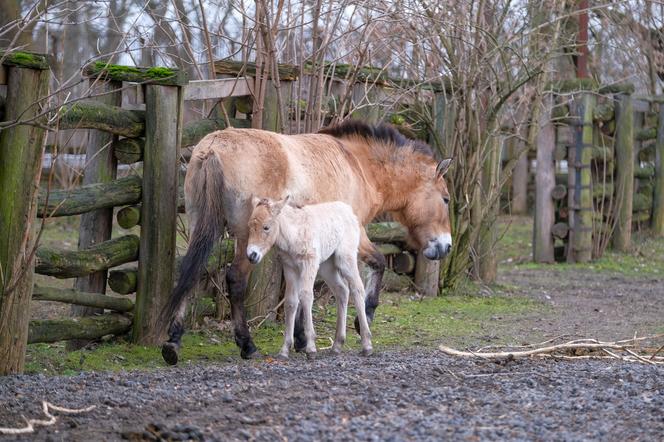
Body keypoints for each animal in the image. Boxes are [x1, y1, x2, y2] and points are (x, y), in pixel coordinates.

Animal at [161, 119, 452, 364]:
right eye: (446, 199)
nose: (446, 246)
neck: (357, 165)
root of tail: (213, 148)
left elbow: (302, 290)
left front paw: (301, 338)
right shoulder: (355, 233)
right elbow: (378, 263)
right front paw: (362, 320)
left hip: (201, 227)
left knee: (192, 272)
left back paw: (173, 343)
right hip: (246, 239)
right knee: (235, 279)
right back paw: (247, 345)